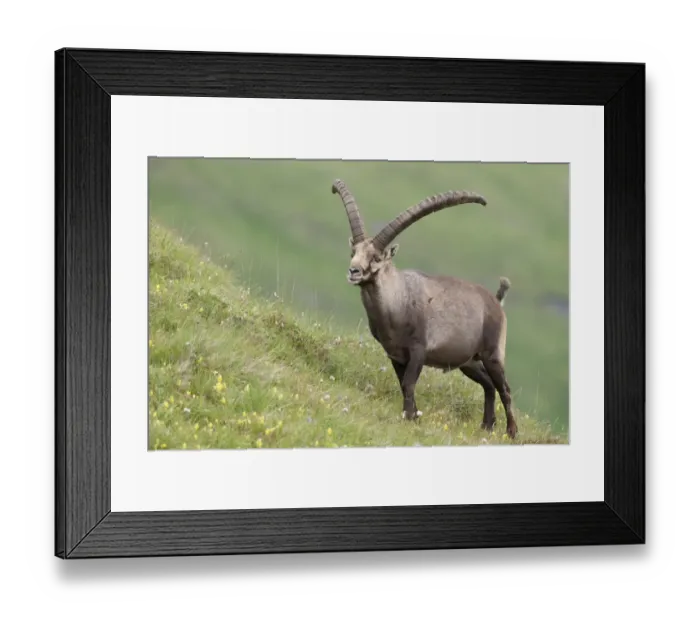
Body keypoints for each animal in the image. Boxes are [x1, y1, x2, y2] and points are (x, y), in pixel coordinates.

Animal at [332, 179, 518, 439]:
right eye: (353, 252)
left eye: (377, 257)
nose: (354, 271)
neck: (397, 302)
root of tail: (495, 300)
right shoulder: (395, 354)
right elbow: (403, 384)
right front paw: (414, 416)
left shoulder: (418, 349)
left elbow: (409, 383)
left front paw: (410, 417)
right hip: (468, 362)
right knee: (489, 385)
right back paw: (487, 426)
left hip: (492, 353)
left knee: (505, 388)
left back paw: (511, 432)